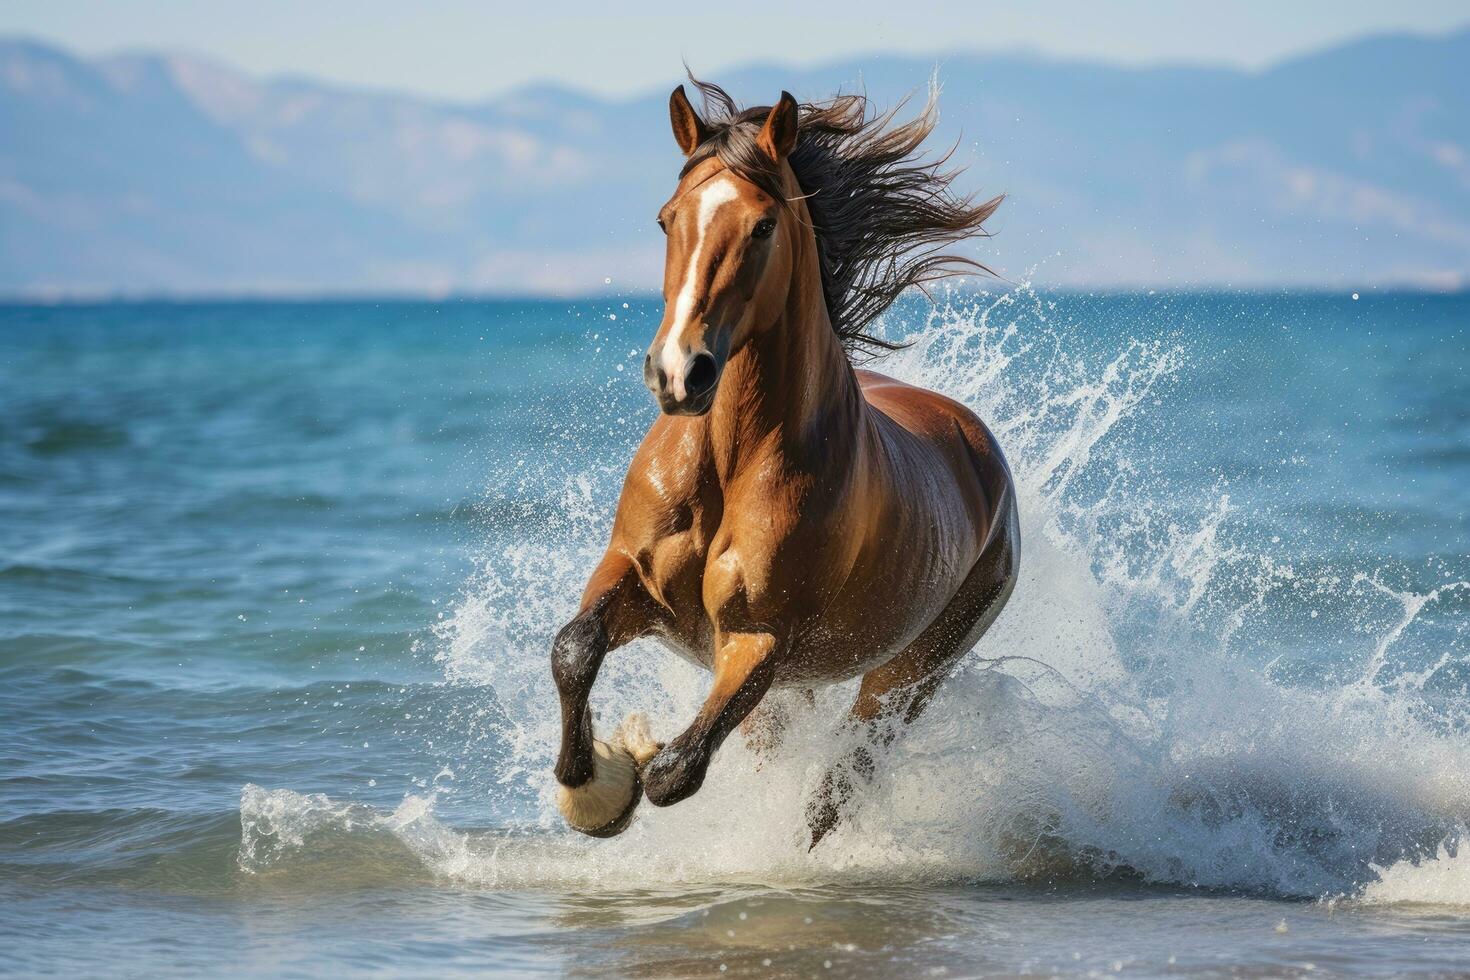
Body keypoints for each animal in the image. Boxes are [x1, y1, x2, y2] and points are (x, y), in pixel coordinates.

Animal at [552, 80, 1023, 846]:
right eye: (666, 220)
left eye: (763, 227)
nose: (678, 372)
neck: (731, 461)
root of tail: (981, 450)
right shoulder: (632, 574)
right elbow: (574, 649)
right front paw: (593, 787)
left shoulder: (758, 639)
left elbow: (677, 771)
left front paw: (628, 766)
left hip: (905, 675)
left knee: (841, 783)